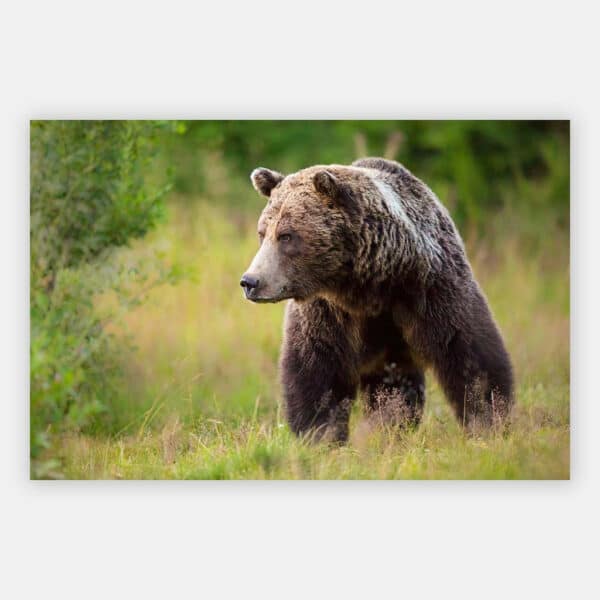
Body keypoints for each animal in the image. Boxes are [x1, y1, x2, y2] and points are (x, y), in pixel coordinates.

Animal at [241, 157, 512, 442]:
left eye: (286, 235)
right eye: (262, 233)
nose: (251, 281)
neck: (368, 286)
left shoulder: (431, 289)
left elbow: (470, 355)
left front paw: (488, 421)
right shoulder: (327, 311)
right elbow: (316, 371)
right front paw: (320, 433)